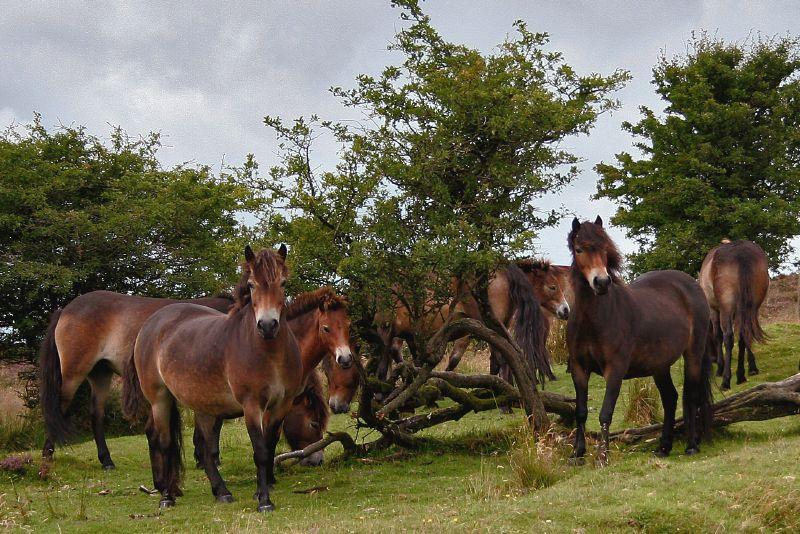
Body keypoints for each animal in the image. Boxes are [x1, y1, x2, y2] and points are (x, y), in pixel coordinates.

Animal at [125, 245, 303, 511]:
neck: (269, 353)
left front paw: (261, 491)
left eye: (282, 283)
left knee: (206, 451)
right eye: (251, 285)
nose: (268, 325)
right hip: (159, 400)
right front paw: (264, 502)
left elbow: (269, 447)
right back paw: (167, 497)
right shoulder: (252, 406)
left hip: (204, 406)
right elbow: (260, 451)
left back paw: (221, 492)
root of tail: (150, 324)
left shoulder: (282, 405)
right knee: (165, 443)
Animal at [567, 217, 713, 465]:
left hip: (694, 352)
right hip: (660, 366)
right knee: (670, 398)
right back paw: (663, 447)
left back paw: (691, 445)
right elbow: (581, 411)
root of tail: (692, 285)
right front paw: (577, 453)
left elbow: (605, 412)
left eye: (605, 249)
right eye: (579, 249)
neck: (592, 321)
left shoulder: (615, 369)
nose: (601, 282)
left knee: (690, 396)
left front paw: (602, 457)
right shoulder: (578, 368)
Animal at [699, 239, 769, 389]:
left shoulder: (714, 311)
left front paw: (720, 368)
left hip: (727, 308)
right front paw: (752, 366)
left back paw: (726, 380)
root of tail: (740, 253)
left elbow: (718, 336)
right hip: (751, 307)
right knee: (745, 333)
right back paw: (741, 374)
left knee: (729, 337)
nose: (713, 359)